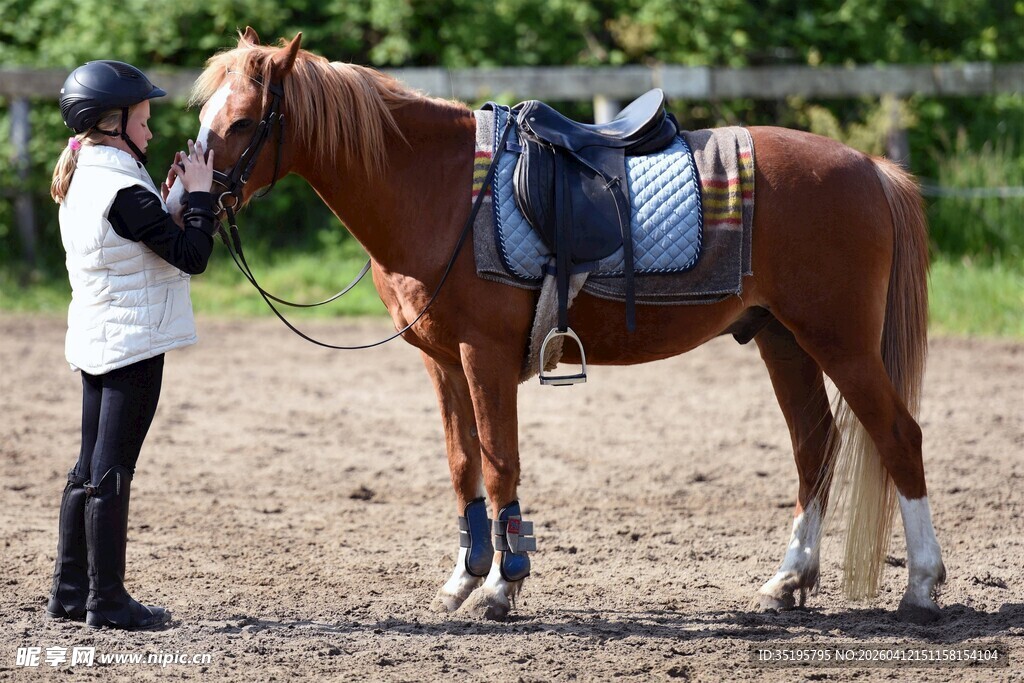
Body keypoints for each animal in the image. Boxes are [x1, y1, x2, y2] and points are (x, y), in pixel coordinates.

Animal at [168, 28, 945, 624]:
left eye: (242, 122)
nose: (180, 205)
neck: (438, 190)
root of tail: (870, 167)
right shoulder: (441, 362)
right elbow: (462, 463)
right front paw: (464, 576)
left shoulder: (481, 356)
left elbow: (500, 462)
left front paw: (501, 584)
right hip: (783, 338)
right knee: (815, 445)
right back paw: (789, 579)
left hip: (840, 342)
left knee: (898, 436)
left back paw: (922, 586)